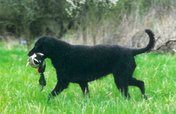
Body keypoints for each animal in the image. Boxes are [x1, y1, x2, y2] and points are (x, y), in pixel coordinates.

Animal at [27, 29, 155, 99]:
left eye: (37, 46)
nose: (28, 54)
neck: (62, 53)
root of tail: (131, 51)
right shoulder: (83, 83)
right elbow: (86, 95)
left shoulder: (63, 82)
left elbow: (51, 94)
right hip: (125, 77)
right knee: (141, 83)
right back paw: (144, 98)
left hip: (121, 79)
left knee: (129, 94)